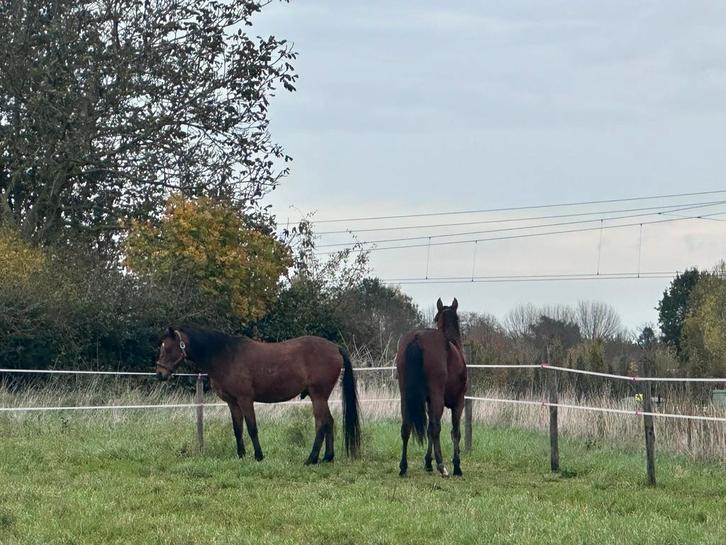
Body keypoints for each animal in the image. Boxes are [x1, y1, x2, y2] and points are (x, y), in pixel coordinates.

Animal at [155, 326, 361, 464]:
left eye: (167, 348)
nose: (159, 374)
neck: (225, 356)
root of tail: (335, 348)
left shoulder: (245, 400)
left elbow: (252, 428)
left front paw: (259, 456)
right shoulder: (232, 403)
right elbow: (237, 429)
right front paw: (241, 455)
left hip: (318, 396)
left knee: (321, 424)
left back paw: (311, 459)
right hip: (320, 397)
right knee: (329, 422)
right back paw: (327, 457)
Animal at [396, 298, 467, 477]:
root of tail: (417, 338)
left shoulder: (427, 402)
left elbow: (427, 430)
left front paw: (428, 462)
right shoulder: (459, 402)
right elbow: (455, 432)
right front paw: (457, 466)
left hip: (405, 396)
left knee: (406, 427)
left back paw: (403, 467)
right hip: (437, 398)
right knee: (436, 427)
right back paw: (442, 466)